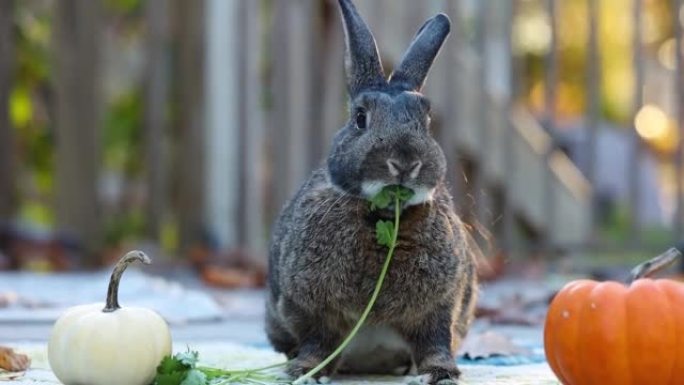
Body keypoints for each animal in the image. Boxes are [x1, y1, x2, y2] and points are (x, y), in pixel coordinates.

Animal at [264, 1, 478, 382]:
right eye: (360, 119)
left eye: (426, 121)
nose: (405, 163)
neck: (384, 215)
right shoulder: (308, 305)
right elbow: (317, 340)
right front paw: (308, 370)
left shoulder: (441, 304)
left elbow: (436, 340)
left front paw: (440, 373)